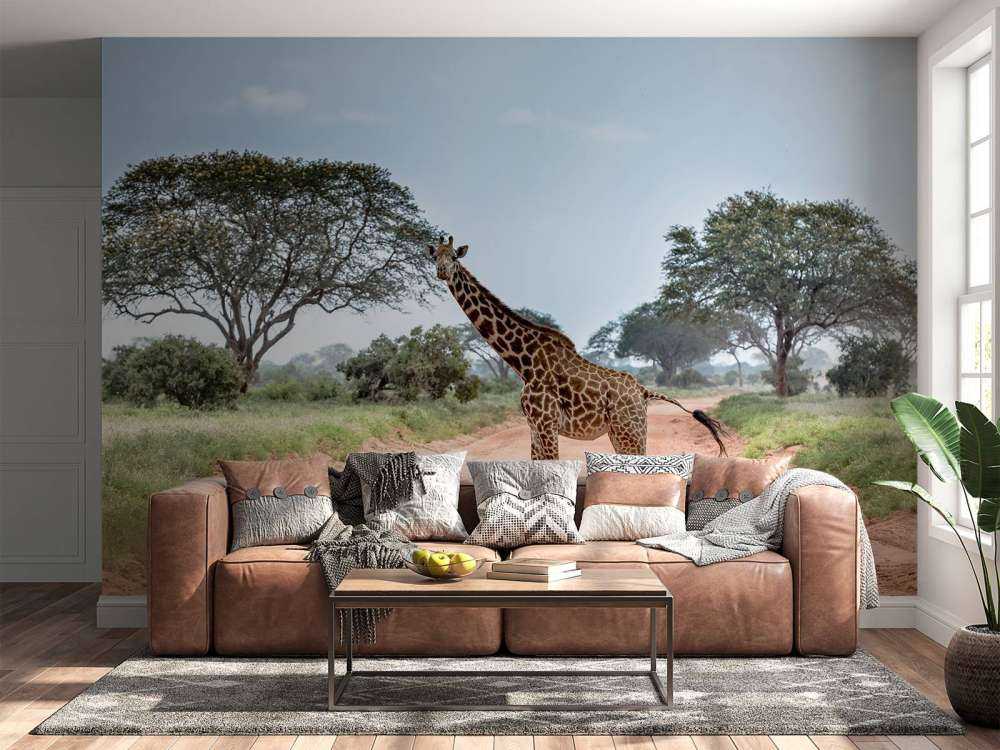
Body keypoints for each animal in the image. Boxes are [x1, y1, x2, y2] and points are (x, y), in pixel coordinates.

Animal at [428, 236, 727, 460]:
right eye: (435, 256)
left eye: (454, 257)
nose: (442, 272)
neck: (522, 361)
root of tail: (644, 391)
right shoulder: (533, 426)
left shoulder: (547, 424)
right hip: (624, 431)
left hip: (628, 430)